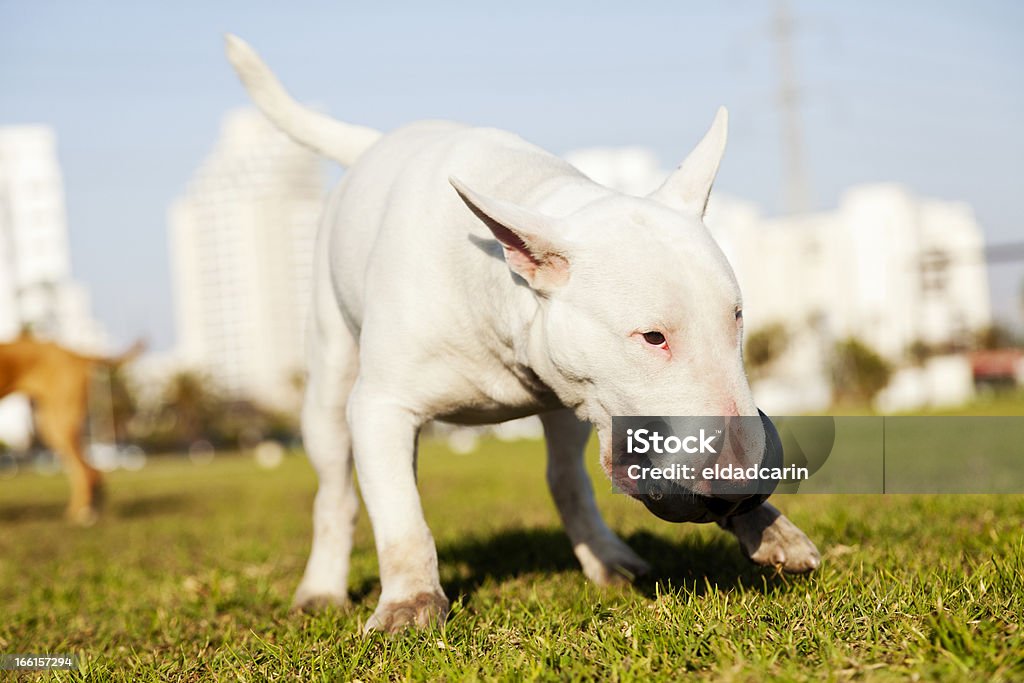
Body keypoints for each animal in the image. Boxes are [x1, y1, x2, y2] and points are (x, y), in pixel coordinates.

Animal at [0, 333, 144, 528]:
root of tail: (78, 355)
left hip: (61, 421)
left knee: (88, 471)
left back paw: (86, 514)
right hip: (52, 423)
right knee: (81, 471)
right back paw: (80, 511)